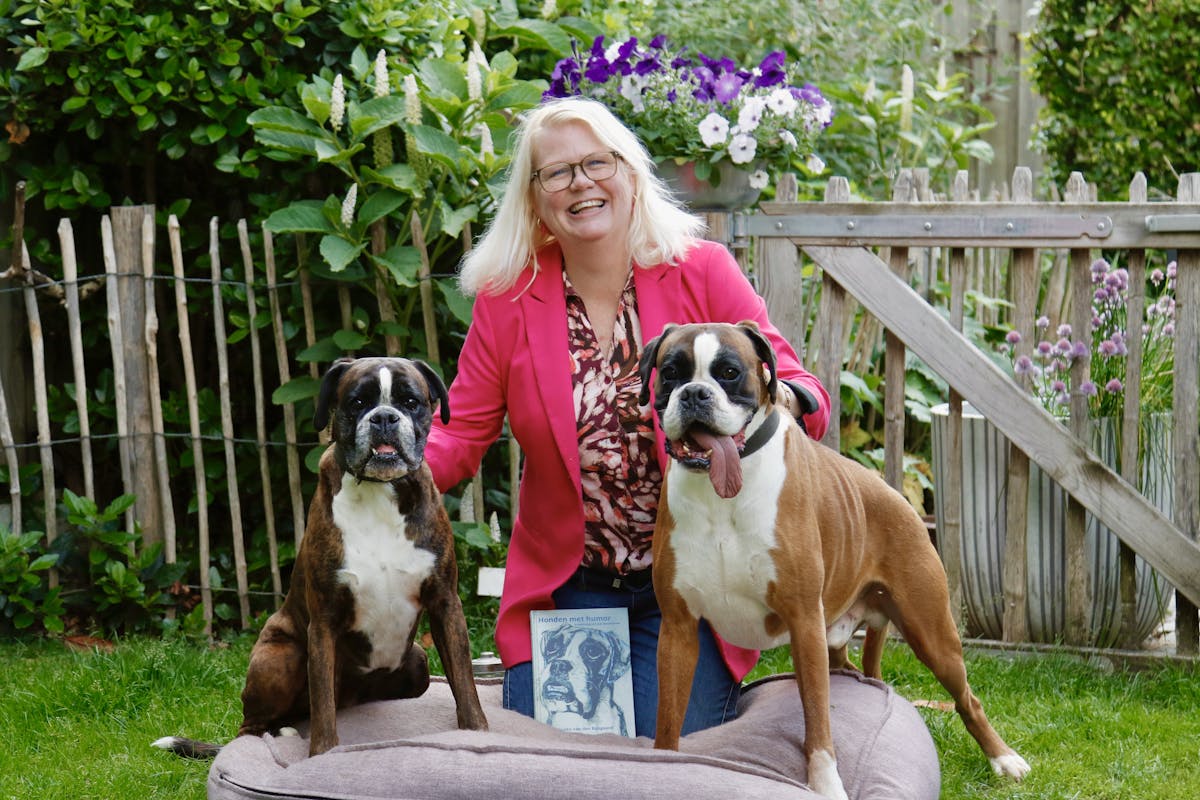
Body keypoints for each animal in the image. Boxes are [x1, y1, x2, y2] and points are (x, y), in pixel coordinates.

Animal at [155, 356, 487, 758]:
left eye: (411, 402)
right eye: (357, 403)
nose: (384, 417)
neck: (381, 492)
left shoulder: (444, 603)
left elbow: (464, 682)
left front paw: (478, 734)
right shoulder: (324, 621)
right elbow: (323, 706)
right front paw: (321, 755)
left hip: (418, 663)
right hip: (280, 656)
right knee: (250, 729)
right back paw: (278, 733)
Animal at [638, 321, 1029, 800]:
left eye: (730, 372)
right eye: (670, 373)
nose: (694, 393)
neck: (723, 492)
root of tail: (902, 500)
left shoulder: (804, 621)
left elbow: (818, 719)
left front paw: (824, 784)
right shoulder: (678, 630)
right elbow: (668, 719)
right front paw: (663, 766)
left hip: (932, 635)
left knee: (967, 698)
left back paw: (1004, 759)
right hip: (839, 645)